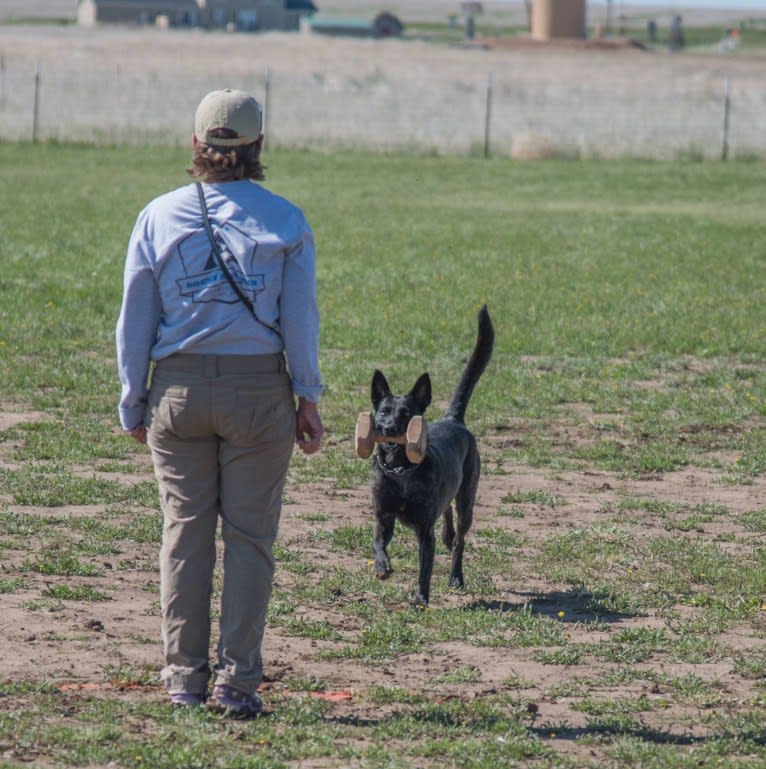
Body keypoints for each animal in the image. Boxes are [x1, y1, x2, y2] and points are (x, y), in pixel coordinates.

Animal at [370, 304, 498, 604]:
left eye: (407, 414)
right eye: (384, 411)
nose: (390, 428)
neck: (400, 471)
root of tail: (454, 420)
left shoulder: (425, 531)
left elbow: (424, 569)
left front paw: (420, 599)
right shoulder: (384, 517)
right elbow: (378, 542)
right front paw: (382, 567)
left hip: (467, 499)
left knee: (460, 537)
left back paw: (456, 575)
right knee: (447, 511)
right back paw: (447, 536)